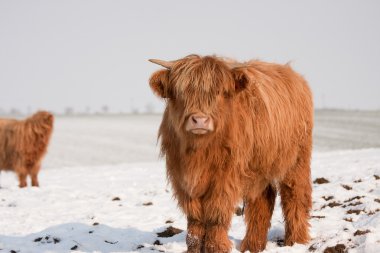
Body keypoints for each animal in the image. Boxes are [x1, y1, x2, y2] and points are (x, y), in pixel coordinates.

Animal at [148, 54, 312, 252]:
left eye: (219, 92)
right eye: (181, 93)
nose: (200, 120)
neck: (199, 152)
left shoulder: (225, 178)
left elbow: (216, 215)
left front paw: (216, 247)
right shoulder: (183, 179)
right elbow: (195, 219)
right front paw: (194, 248)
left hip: (297, 160)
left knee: (295, 196)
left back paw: (295, 241)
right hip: (259, 168)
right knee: (263, 200)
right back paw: (253, 246)